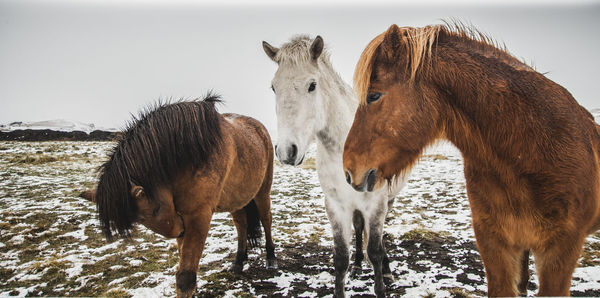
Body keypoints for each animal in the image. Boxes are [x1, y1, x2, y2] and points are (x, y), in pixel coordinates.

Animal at [262, 35, 408, 298]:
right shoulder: (336, 206)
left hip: (388, 200)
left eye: (312, 85)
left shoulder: (376, 204)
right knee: (359, 229)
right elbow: (340, 258)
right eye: (273, 87)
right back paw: (358, 265)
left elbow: (376, 250)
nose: (287, 151)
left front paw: (381, 281)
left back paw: (386, 270)